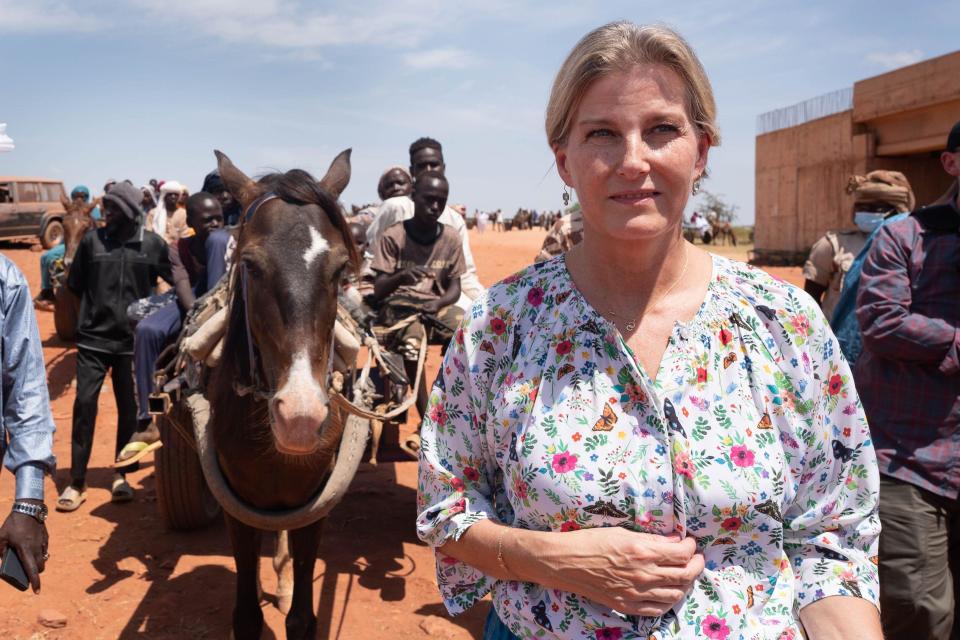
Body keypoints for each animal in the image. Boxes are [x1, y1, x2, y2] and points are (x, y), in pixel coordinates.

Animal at [208, 151, 362, 640]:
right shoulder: (236, 508)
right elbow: (245, 617)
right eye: (250, 265)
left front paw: (290, 588)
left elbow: (302, 619)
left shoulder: (313, 507)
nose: (300, 417)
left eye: (340, 270)